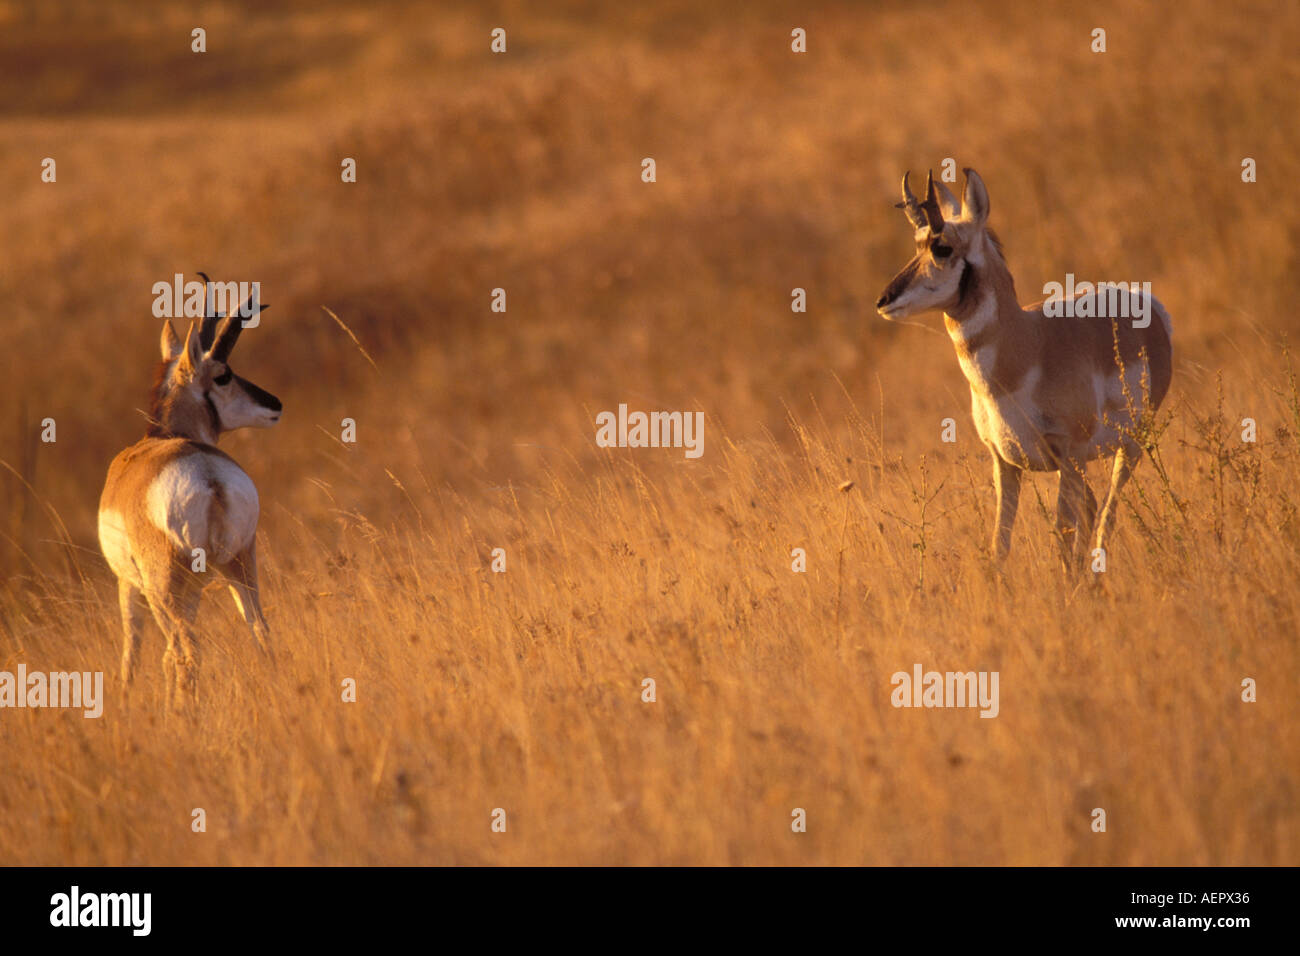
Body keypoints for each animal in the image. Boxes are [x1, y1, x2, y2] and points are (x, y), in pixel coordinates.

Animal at [96, 277, 282, 702]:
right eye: (225, 375)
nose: (275, 404)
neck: (166, 438)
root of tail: (208, 475)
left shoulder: (128, 586)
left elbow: (132, 655)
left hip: (164, 591)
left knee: (184, 650)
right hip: (238, 565)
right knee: (259, 630)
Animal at [878, 167, 1175, 564]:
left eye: (942, 248)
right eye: (917, 245)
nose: (884, 300)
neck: (1025, 349)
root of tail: (1148, 303)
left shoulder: (1067, 455)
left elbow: (1061, 540)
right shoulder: (1005, 463)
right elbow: (999, 545)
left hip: (1129, 448)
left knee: (1105, 517)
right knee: (1092, 510)